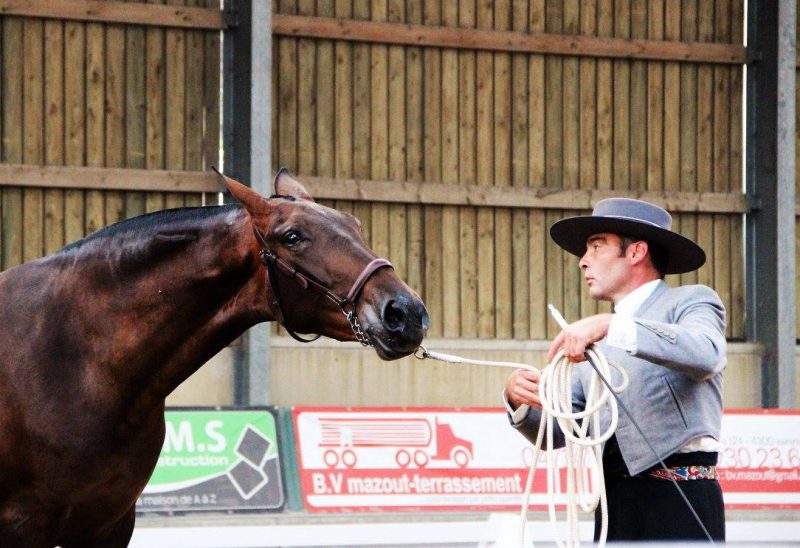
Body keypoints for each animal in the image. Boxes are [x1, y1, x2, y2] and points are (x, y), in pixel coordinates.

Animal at [0, 169, 428, 544]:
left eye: (355, 226)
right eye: (292, 237)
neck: (78, 360)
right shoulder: (25, 526)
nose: (405, 313)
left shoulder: (109, 526)